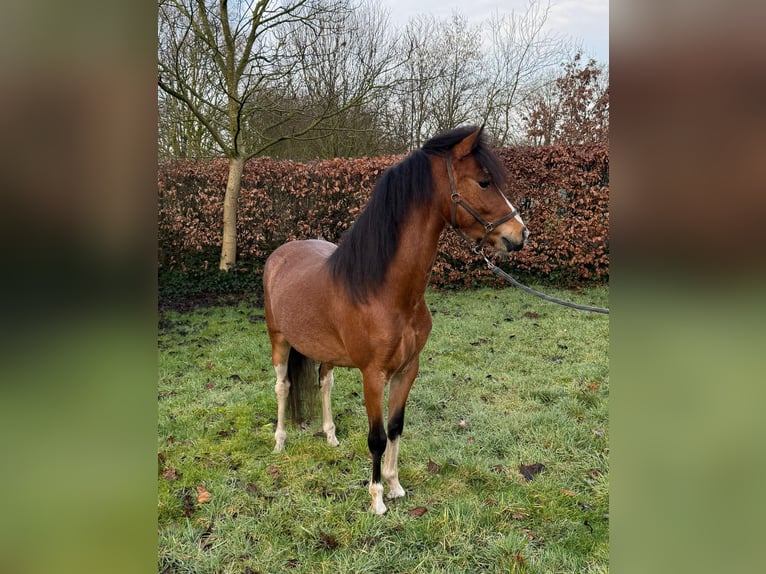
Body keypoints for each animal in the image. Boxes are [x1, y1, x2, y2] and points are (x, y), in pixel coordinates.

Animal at [263, 125, 528, 514]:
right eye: (483, 182)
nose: (520, 234)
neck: (385, 291)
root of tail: (280, 255)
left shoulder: (407, 369)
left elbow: (395, 427)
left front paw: (394, 485)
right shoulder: (373, 375)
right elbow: (376, 437)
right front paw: (376, 499)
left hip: (325, 352)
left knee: (325, 383)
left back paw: (330, 437)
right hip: (279, 341)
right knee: (283, 387)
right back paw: (280, 443)